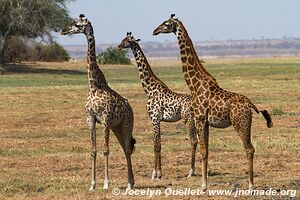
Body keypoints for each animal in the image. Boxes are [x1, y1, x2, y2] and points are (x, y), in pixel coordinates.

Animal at [61, 14, 136, 191]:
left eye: (77, 24)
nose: (63, 30)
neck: (93, 85)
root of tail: (130, 108)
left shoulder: (106, 119)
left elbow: (106, 150)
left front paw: (106, 184)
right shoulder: (91, 119)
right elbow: (93, 150)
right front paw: (92, 184)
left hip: (126, 124)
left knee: (127, 148)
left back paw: (130, 184)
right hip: (117, 127)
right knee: (125, 148)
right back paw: (131, 182)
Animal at [118, 32, 199, 179]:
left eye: (127, 41)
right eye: (123, 39)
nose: (118, 46)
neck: (149, 89)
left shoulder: (155, 119)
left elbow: (156, 144)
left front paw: (154, 173)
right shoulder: (157, 120)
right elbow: (159, 143)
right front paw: (159, 173)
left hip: (188, 120)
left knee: (193, 141)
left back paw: (191, 171)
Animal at [154, 13, 274, 191]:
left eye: (167, 24)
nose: (155, 31)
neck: (194, 85)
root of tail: (251, 105)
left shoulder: (199, 119)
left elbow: (203, 151)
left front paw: (203, 185)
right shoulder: (206, 122)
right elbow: (207, 151)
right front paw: (205, 182)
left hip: (241, 123)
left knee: (249, 149)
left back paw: (251, 186)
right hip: (245, 123)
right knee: (250, 149)